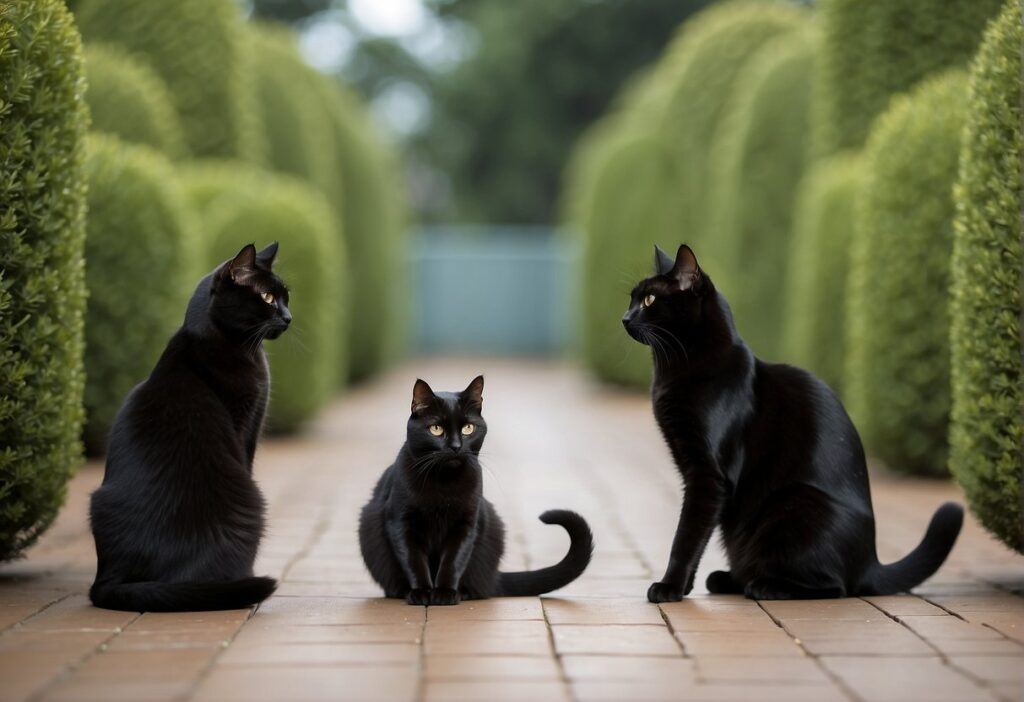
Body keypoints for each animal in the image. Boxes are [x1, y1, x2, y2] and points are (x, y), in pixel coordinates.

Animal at [88, 244, 290, 613]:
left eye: (287, 297)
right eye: (268, 297)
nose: (288, 317)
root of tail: (111, 579)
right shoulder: (245, 427)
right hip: (250, 500)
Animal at [358, 376, 593, 605]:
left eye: (468, 428)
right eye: (436, 429)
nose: (455, 446)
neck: (444, 483)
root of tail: (494, 577)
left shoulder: (467, 523)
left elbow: (453, 560)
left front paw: (445, 593)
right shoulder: (399, 521)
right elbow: (413, 560)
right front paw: (422, 592)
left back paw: (463, 592)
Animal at [618, 244, 962, 601]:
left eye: (649, 300)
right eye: (631, 299)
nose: (624, 318)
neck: (672, 371)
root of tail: (870, 563)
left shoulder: (707, 476)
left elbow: (687, 536)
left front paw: (669, 587)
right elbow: (695, 537)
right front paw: (683, 587)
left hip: (793, 506)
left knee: (835, 587)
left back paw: (764, 586)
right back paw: (729, 579)